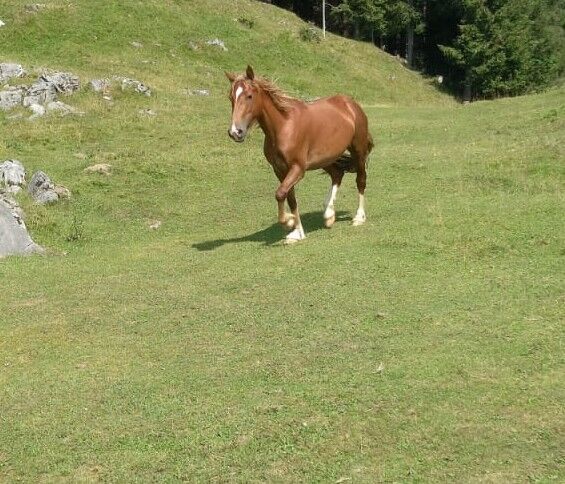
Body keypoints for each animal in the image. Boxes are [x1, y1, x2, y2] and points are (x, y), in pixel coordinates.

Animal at [225, 66, 374, 244]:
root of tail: (351, 104)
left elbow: (280, 194)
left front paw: (288, 222)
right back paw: (329, 215)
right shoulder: (280, 170)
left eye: (249, 96)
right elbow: (290, 198)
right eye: (231, 97)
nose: (236, 132)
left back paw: (358, 217)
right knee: (337, 174)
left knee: (361, 180)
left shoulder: (297, 168)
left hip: (358, 152)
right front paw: (297, 232)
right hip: (325, 159)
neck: (284, 126)